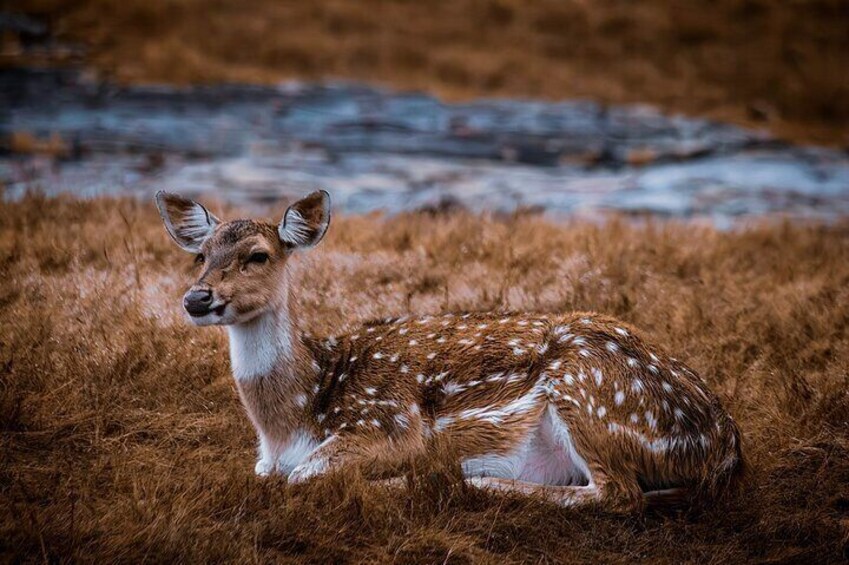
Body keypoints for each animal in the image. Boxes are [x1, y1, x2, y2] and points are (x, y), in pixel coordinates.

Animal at [156, 189, 744, 512]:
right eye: (200, 255)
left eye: (258, 255)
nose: (196, 298)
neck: (295, 415)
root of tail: (725, 448)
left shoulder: (388, 423)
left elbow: (304, 475)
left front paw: (399, 479)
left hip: (589, 391)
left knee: (619, 495)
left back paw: (464, 481)